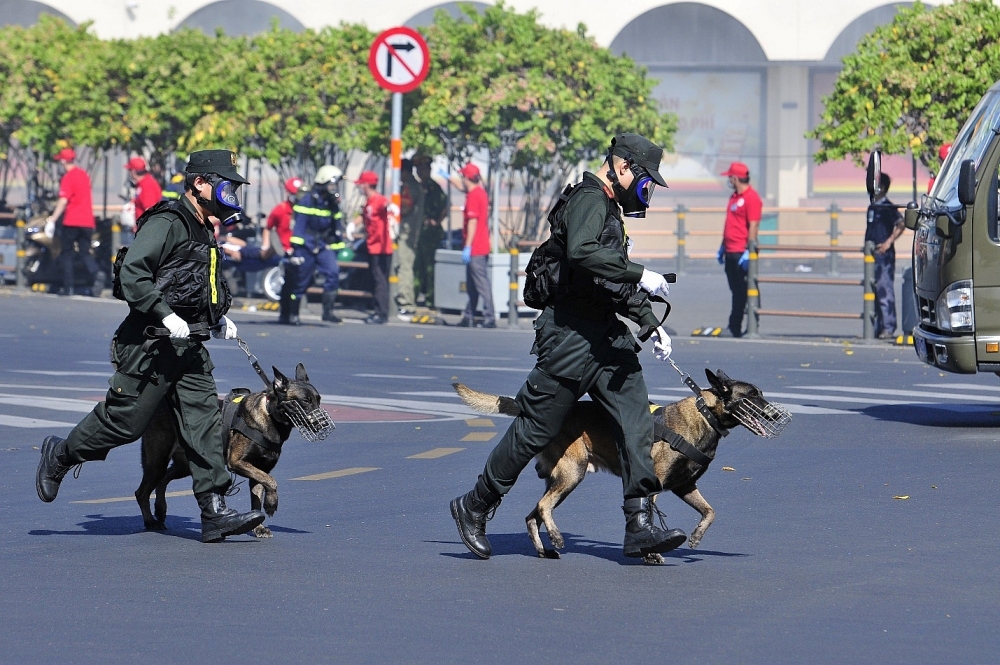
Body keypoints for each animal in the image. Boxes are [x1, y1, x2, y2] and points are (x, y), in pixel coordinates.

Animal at [133, 360, 326, 536]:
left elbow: (259, 496)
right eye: (305, 401)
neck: (270, 416)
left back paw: (160, 509)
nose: (323, 424)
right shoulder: (237, 462)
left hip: (184, 466)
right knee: (142, 492)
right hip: (158, 462)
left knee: (162, 481)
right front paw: (271, 504)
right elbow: (271, 481)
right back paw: (150, 521)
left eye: (318, 400)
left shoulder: (258, 470)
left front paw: (259, 526)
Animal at [454, 370, 788, 564]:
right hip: (571, 474)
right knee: (543, 507)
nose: (775, 414)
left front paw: (695, 537)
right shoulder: (654, 488)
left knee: (532, 513)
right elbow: (649, 516)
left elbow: (710, 512)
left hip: (562, 481)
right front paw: (652, 552)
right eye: (753, 396)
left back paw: (543, 549)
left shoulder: (685, 487)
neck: (704, 414)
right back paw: (557, 538)